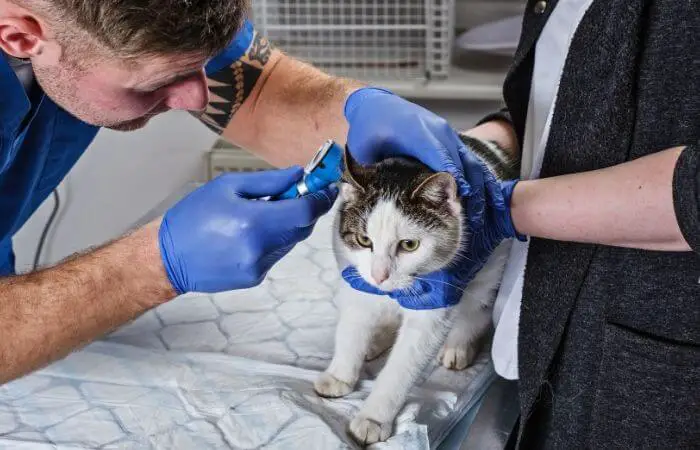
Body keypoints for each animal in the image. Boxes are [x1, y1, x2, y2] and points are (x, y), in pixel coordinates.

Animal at [314, 133, 516, 442]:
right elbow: (351, 330)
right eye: (363, 240)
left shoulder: (434, 307)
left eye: (409, 244)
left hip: (491, 270)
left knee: (477, 308)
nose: (380, 276)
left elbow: (403, 365)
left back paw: (459, 345)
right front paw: (341, 374)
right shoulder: (357, 283)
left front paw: (373, 418)